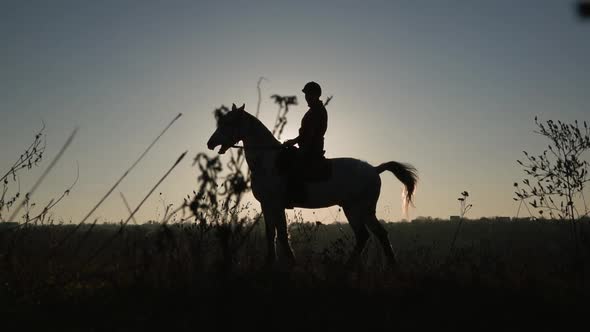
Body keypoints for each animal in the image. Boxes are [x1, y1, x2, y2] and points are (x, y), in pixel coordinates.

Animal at [206, 104, 418, 268]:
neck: (269, 161)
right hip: (365, 210)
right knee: (379, 234)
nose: (210, 143)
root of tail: (374, 169)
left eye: (228, 122)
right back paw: (391, 267)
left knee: (363, 235)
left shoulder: (275, 204)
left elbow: (280, 234)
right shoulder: (267, 205)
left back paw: (348, 267)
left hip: (355, 208)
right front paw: (273, 263)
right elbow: (272, 233)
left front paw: (287, 263)